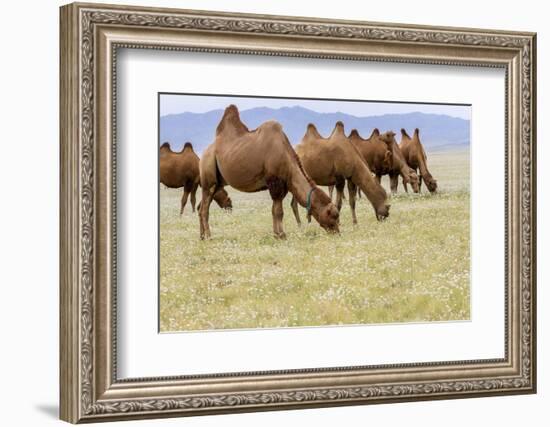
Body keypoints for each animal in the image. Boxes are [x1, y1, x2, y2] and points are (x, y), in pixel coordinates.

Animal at [199, 105, 340, 239]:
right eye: (333, 216)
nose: (337, 232)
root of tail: (205, 152)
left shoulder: (282, 185)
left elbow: (274, 211)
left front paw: (276, 234)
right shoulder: (275, 183)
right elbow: (279, 212)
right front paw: (282, 235)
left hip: (218, 183)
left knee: (202, 207)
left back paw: (201, 236)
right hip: (208, 175)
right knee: (204, 208)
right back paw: (208, 236)